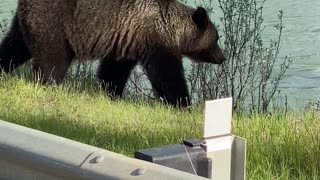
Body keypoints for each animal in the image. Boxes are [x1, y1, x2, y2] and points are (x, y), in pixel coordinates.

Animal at [0, 0, 225, 107]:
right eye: (216, 38)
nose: (222, 58)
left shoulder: (126, 40)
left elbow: (112, 72)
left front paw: (113, 94)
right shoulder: (155, 42)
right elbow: (167, 77)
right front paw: (183, 104)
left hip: (26, 23)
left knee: (13, 46)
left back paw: (3, 69)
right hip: (56, 24)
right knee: (52, 60)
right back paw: (49, 85)